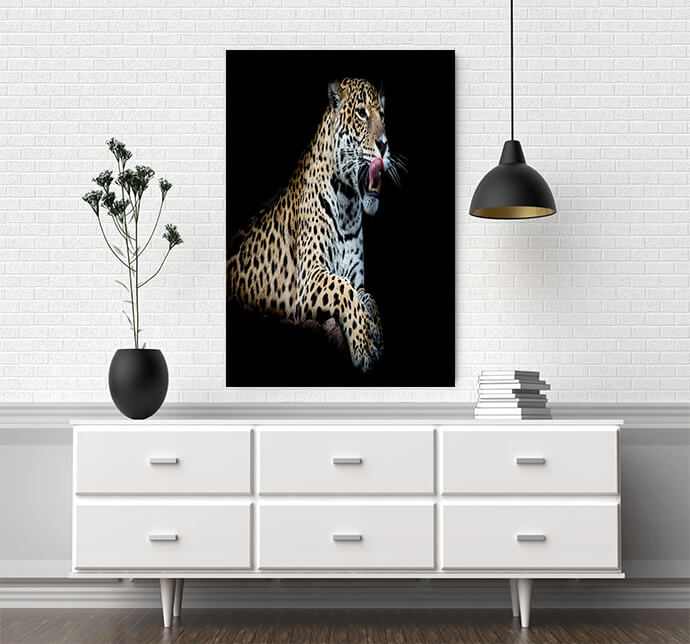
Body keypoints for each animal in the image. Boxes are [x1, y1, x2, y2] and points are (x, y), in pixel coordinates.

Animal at [226, 77, 399, 373]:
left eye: (383, 115)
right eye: (361, 113)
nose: (384, 145)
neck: (348, 204)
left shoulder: (358, 280)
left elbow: (368, 298)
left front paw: (375, 329)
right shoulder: (309, 279)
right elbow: (344, 290)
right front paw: (364, 345)